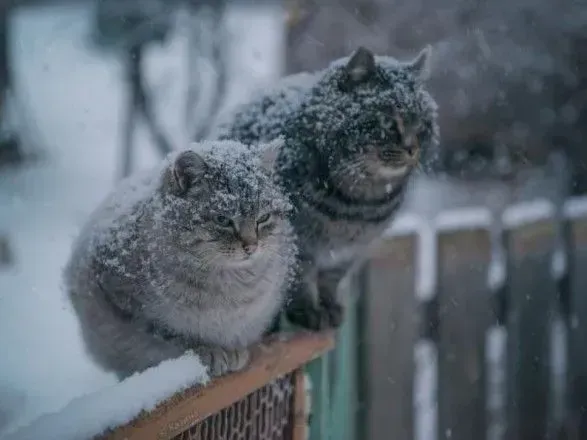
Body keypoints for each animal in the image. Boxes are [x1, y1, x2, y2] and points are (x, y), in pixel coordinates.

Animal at [63, 140, 298, 378]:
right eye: (222, 220)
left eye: (264, 218)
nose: (251, 246)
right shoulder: (129, 306)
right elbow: (174, 335)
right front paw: (211, 350)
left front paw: (232, 351)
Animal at [216, 47, 440, 330]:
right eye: (389, 123)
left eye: (422, 125)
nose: (412, 149)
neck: (359, 205)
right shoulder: (298, 245)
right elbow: (300, 281)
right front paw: (308, 312)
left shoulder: (350, 252)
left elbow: (330, 281)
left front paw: (330, 308)